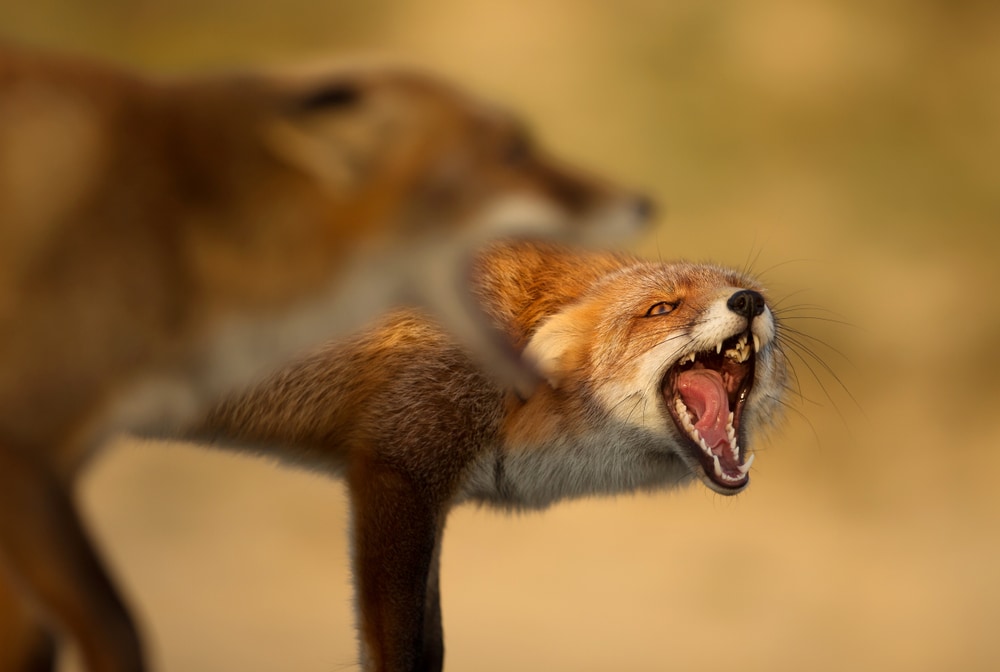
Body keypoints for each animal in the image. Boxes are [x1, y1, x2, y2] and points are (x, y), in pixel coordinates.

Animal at [189, 240, 784, 672]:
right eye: (661, 308)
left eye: (746, 289)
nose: (749, 301)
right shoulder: (400, 469)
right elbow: (400, 651)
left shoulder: (432, 494)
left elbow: (432, 649)